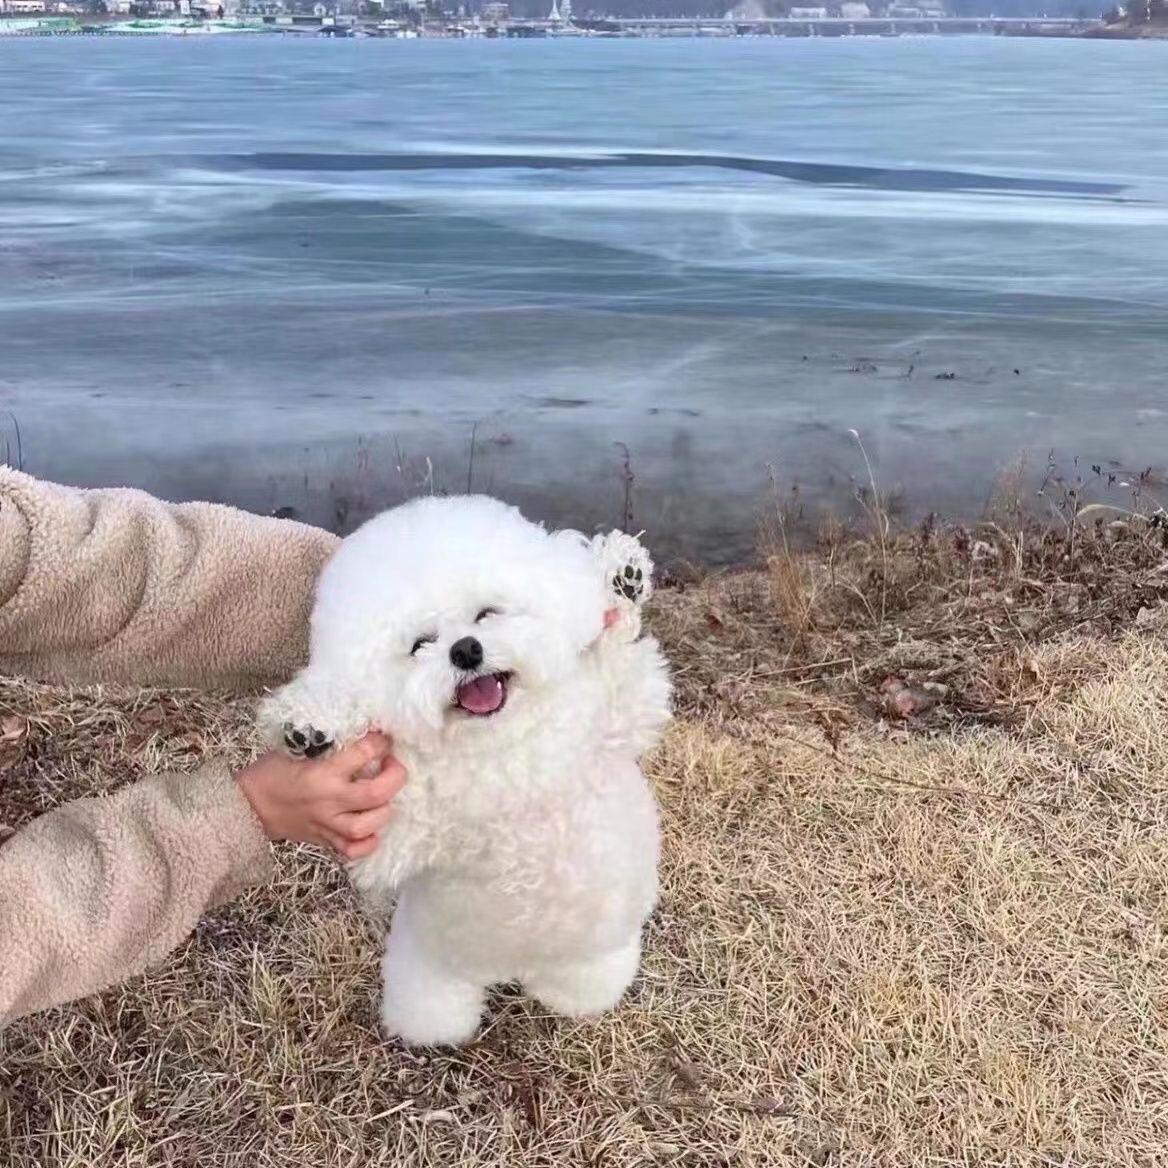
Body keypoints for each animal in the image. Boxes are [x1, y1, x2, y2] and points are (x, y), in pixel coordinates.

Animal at [259, 497, 672, 1046]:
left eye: (486, 613)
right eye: (421, 644)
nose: (466, 650)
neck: (500, 745)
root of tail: (515, 968)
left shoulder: (614, 715)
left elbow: (618, 659)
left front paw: (619, 579)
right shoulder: (397, 828)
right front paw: (312, 726)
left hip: (591, 969)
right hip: (427, 985)